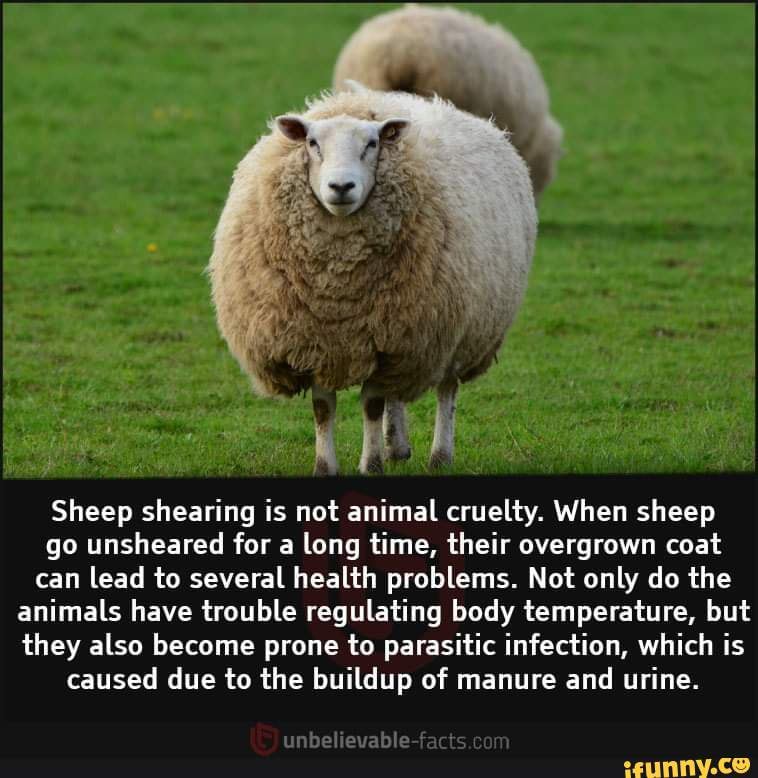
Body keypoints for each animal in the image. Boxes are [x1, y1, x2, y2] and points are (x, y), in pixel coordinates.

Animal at [208, 86, 537, 475]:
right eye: (313, 143)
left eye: (372, 144)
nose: (341, 186)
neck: (336, 287)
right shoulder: (317, 341)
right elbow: (324, 409)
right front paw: (326, 466)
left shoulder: (387, 341)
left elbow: (371, 405)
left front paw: (371, 464)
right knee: (399, 394)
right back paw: (397, 446)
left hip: (452, 331)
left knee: (446, 389)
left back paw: (440, 455)